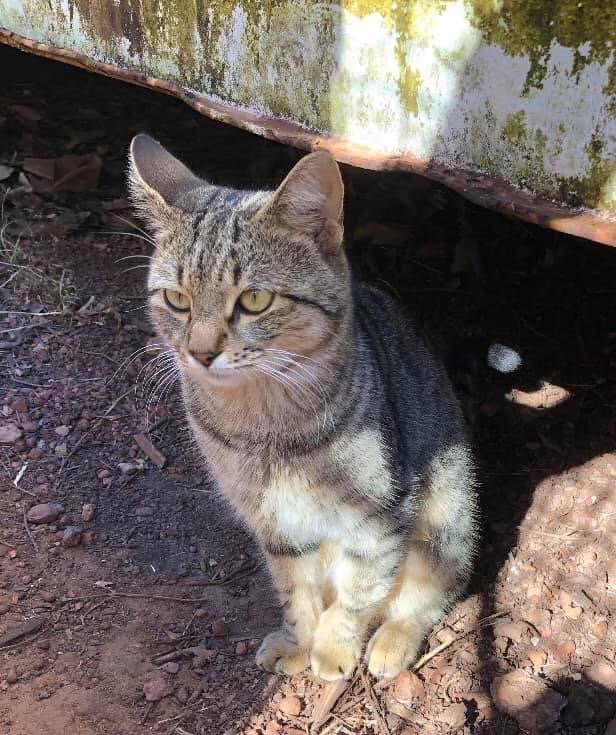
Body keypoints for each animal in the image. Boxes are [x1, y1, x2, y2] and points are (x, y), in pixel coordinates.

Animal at [128, 134, 483, 681]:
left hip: (447, 515)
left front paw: (334, 648)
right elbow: (297, 591)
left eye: (254, 299)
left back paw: (393, 639)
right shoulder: (273, 524)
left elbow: (359, 591)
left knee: (431, 590)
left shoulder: (379, 516)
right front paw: (301, 642)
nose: (200, 353)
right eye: (177, 300)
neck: (263, 424)